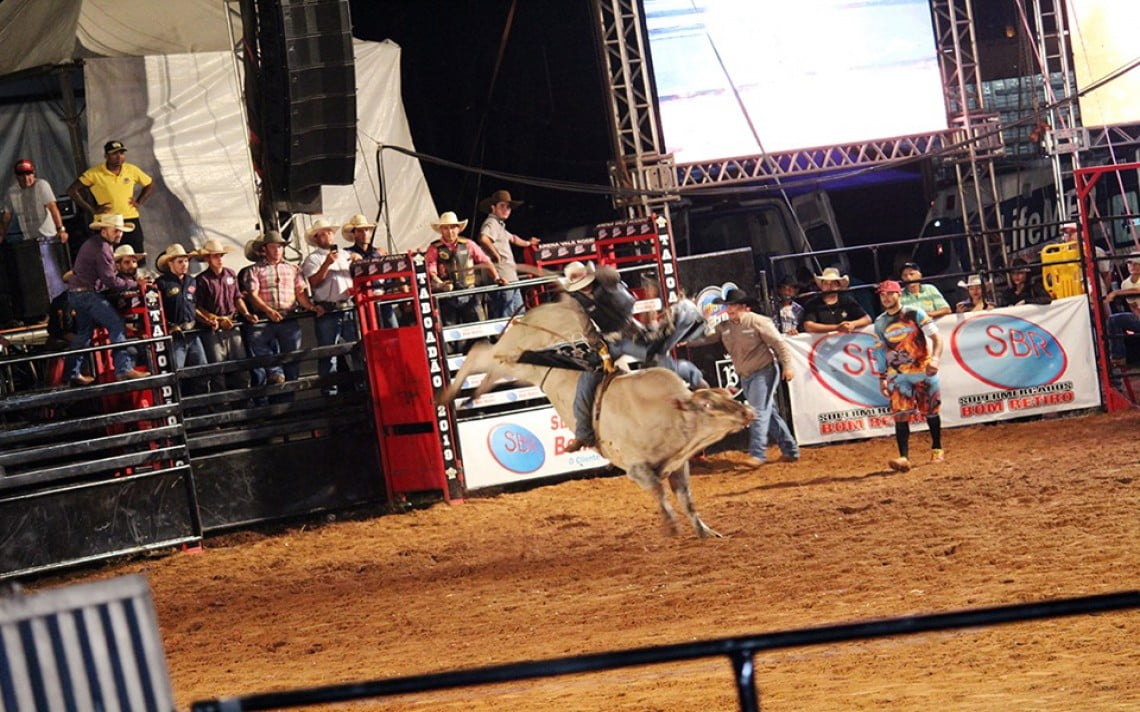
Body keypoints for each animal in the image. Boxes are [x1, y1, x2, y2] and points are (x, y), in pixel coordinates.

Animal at [438, 296, 754, 537]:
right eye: (709, 405)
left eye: (726, 398)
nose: (748, 411)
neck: (668, 414)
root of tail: (543, 308)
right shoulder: (636, 468)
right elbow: (659, 492)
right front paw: (671, 526)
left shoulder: (678, 465)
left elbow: (686, 500)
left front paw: (704, 531)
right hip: (511, 355)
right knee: (478, 351)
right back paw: (446, 395)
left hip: (516, 367)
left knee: (487, 365)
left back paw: (474, 394)